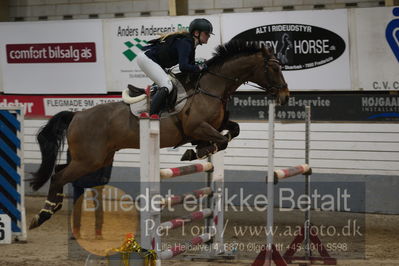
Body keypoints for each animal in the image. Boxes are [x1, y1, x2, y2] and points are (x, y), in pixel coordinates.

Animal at [28, 39, 290, 229]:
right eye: (274, 68)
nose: (285, 96)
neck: (212, 88)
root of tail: (76, 115)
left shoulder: (215, 125)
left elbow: (232, 131)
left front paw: (198, 151)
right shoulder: (197, 127)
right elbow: (222, 139)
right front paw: (195, 152)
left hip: (95, 159)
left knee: (61, 171)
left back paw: (57, 209)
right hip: (88, 159)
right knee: (58, 176)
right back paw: (43, 215)